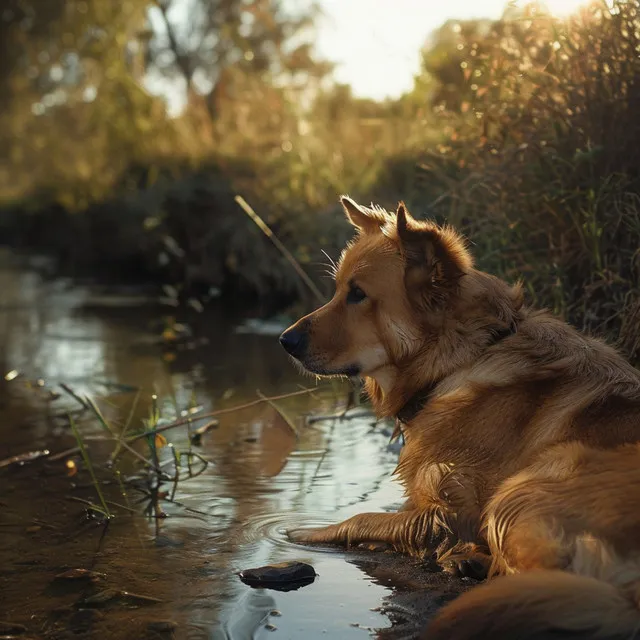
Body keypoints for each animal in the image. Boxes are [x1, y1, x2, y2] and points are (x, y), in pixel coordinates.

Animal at [280, 198, 640, 636]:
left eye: (358, 294)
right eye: (337, 290)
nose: (284, 340)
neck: (460, 359)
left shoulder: (452, 512)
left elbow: (363, 516)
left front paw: (308, 531)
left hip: (522, 490)